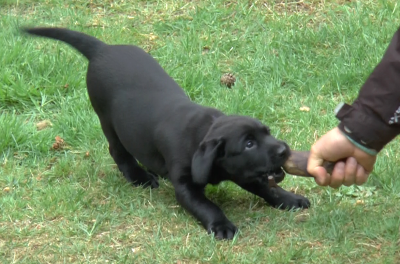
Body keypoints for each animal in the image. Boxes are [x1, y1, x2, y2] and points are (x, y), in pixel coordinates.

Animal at [21, 27, 310, 240]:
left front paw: (290, 199)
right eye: (249, 143)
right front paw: (221, 225)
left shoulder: (242, 171)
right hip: (107, 120)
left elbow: (268, 188)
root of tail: (103, 48)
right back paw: (139, 177)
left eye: (267, 133)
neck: (204, 132)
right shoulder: (185, 185)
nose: (284, 149)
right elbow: (207, 206)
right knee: (118, 151)